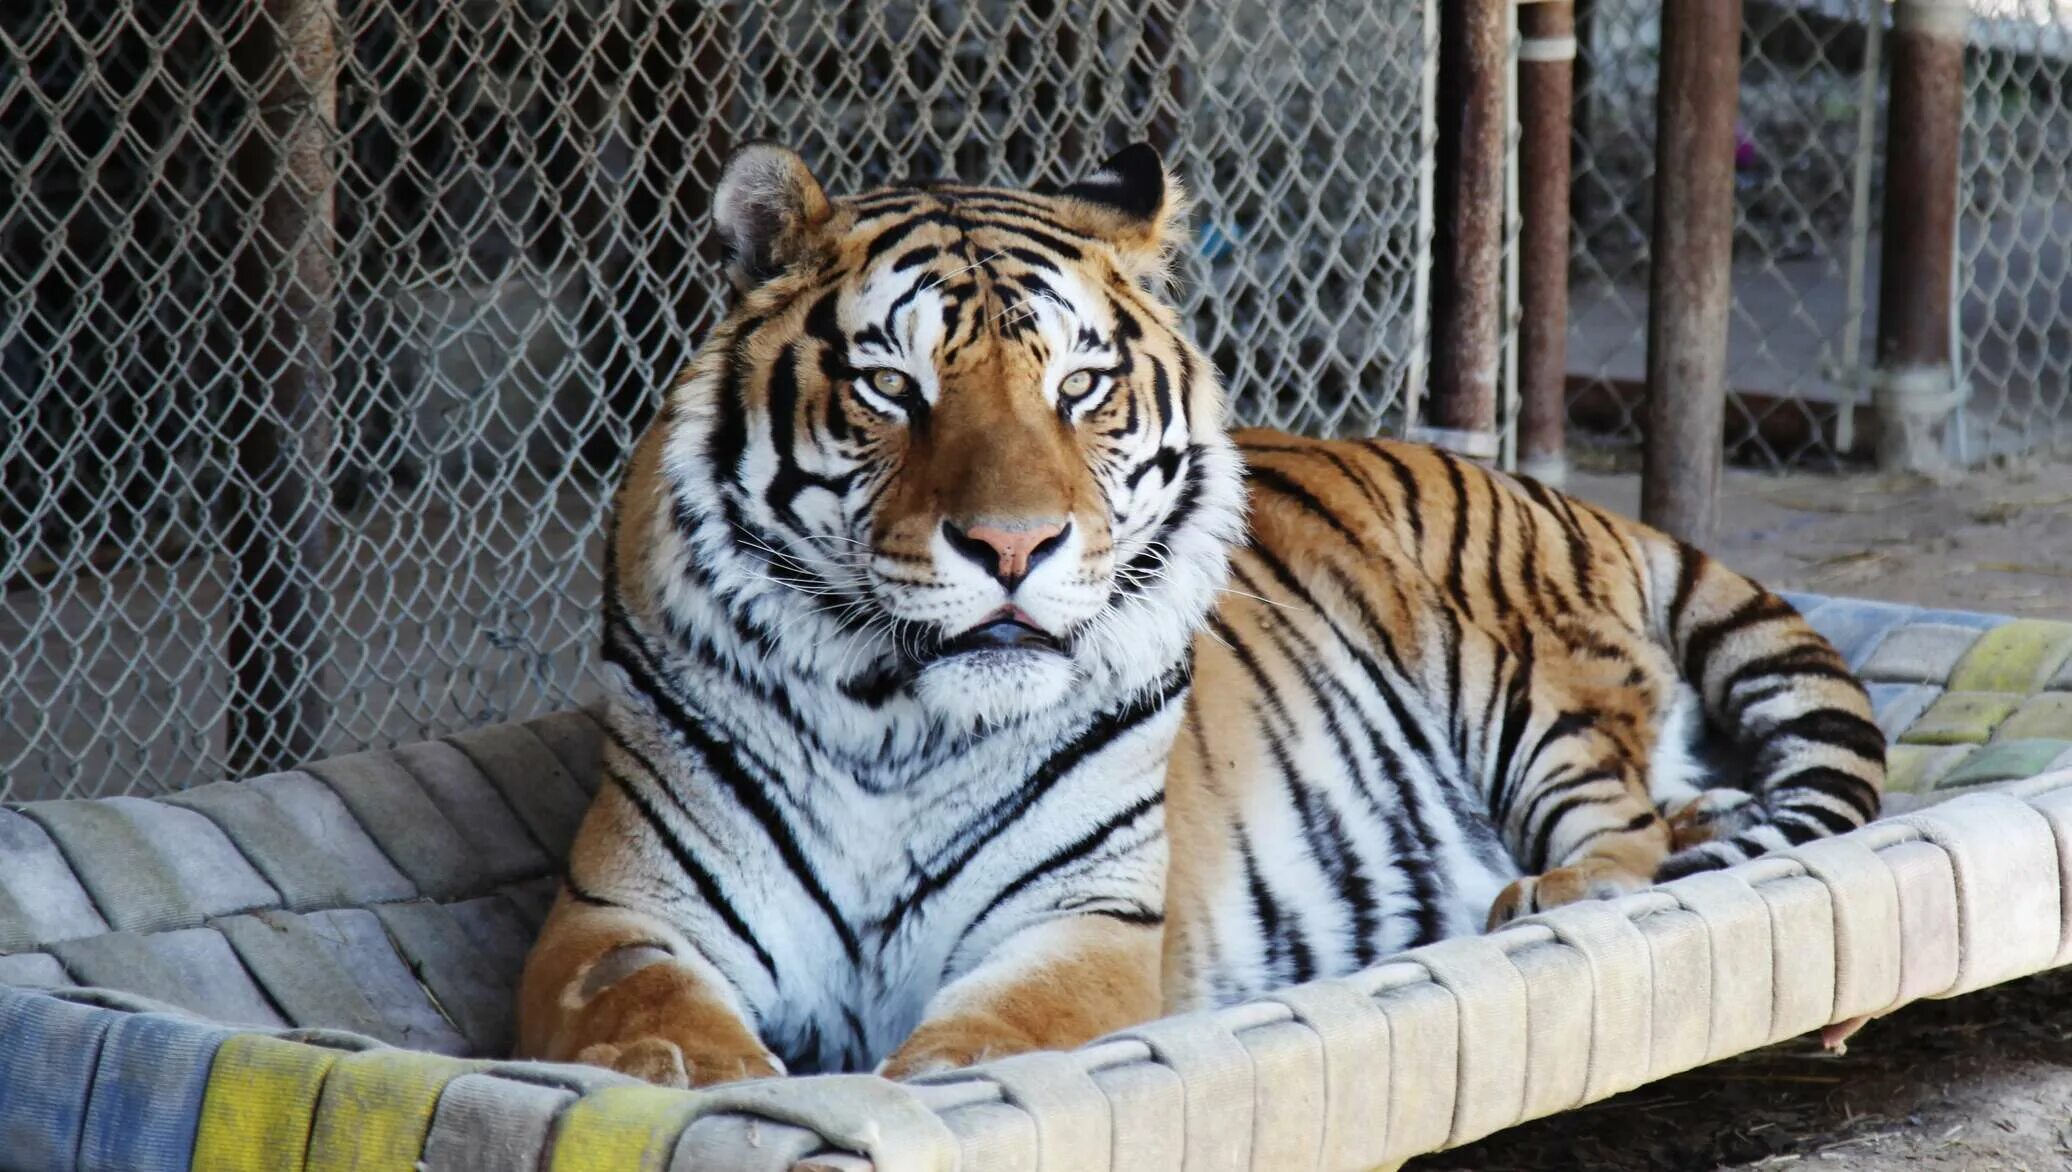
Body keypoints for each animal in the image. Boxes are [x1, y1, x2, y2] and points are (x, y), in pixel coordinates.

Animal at [513, 142, 1881, 1085]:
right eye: (891, 388)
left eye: (1078, 386)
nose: (1012, 546)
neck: (890, 716)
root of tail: (1551, 491)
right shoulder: (621, 911)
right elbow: (640, 1016)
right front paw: (708, 1082)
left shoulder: (1083, 922)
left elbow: (985, 1040)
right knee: (1684, 801)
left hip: (1523, 684)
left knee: (1628, 830)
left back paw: (1553, 895)